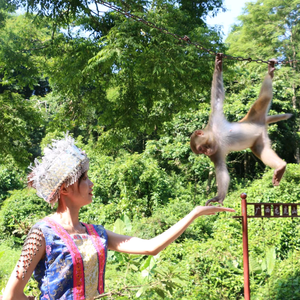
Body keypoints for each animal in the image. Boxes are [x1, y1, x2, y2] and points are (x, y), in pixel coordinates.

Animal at [191, 54, 292, 206]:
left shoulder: (215, 119)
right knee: (261, 150)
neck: (215, 136)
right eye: (201, 151)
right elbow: (221, 170)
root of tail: (260, 121)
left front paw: (218, 65)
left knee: (264, 97)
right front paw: (219, 197)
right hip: (260, 136)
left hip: (255, 113)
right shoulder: (216, 152)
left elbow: (217, 96)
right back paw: (280, 166)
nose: (207, 152)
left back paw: (270, 72)